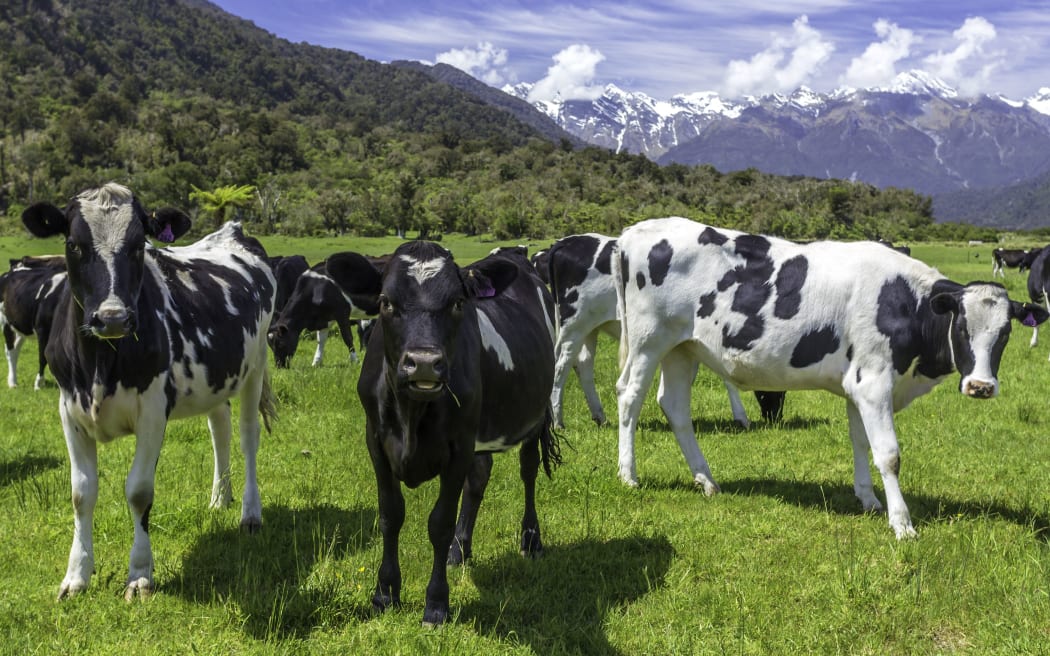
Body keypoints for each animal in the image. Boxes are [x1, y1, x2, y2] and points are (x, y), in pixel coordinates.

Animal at [0, 255, 67, 389]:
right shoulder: (43, 329)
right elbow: (43, 357)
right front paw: (38, 383)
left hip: (21, 324)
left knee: (16, 348)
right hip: (5, 320)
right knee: (10, 351)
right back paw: (13, 382)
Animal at [21, 183, 277, 600]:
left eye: (139, 244)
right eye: (74, 244)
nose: (112, 317)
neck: (99, 364)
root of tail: (231, 230)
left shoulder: (154, 409)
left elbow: (139, 491)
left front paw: (140, 574)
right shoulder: (68, 408)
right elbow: (81, 493)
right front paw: (76, 576)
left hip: (255, 365)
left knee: (247, 437)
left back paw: (250, 513)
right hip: (217, 378)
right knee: (219, 429)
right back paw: (219, 498)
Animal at [326, 241, 559, 627]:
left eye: (458, 303)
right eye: (386, 302)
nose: (423, 363)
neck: (412, 414)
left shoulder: (459, 446)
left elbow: (440, 522)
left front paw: (436, 604)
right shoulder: (376, 441)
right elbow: (390, 515)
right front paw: (385, 593)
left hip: (535, 414)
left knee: (529, 469)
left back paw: (530, 538)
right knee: (479, 478)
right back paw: (459, 550)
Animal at [546, 232, 785, 428]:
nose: (776, 417)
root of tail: (566, 242)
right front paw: (740, 417)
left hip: (589, 327)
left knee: (583, 364)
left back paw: (599, 416)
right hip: (574, 324)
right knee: (561, 365)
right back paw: (558, 421)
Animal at [613, 216, 1047, 539]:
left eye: (1004, 333)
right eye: (961, 328)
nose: (981, 386)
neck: (906, 303)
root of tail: (634, 231)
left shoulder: (858, 385)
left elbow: (861, 442)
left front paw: (868, 500)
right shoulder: (874, 382)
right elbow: (888, 454)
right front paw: (901, 523)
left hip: (683, 348)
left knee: (674, 407)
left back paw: (706, 480)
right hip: (649, 340)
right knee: (629, 396)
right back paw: (628, 475)